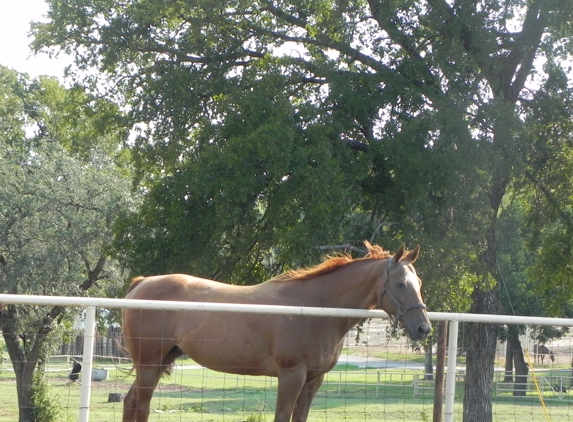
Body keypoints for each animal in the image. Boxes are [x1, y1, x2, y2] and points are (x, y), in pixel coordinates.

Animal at [123, 242, 432, 420]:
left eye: (418, 281)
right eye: (401, 284)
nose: (423, 328)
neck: (314, 307)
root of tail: (142, 283)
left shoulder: (313, 380)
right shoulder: (291, 376)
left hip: (158, 362)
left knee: (130, 402)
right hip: (149, 365)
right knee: (141, 405)